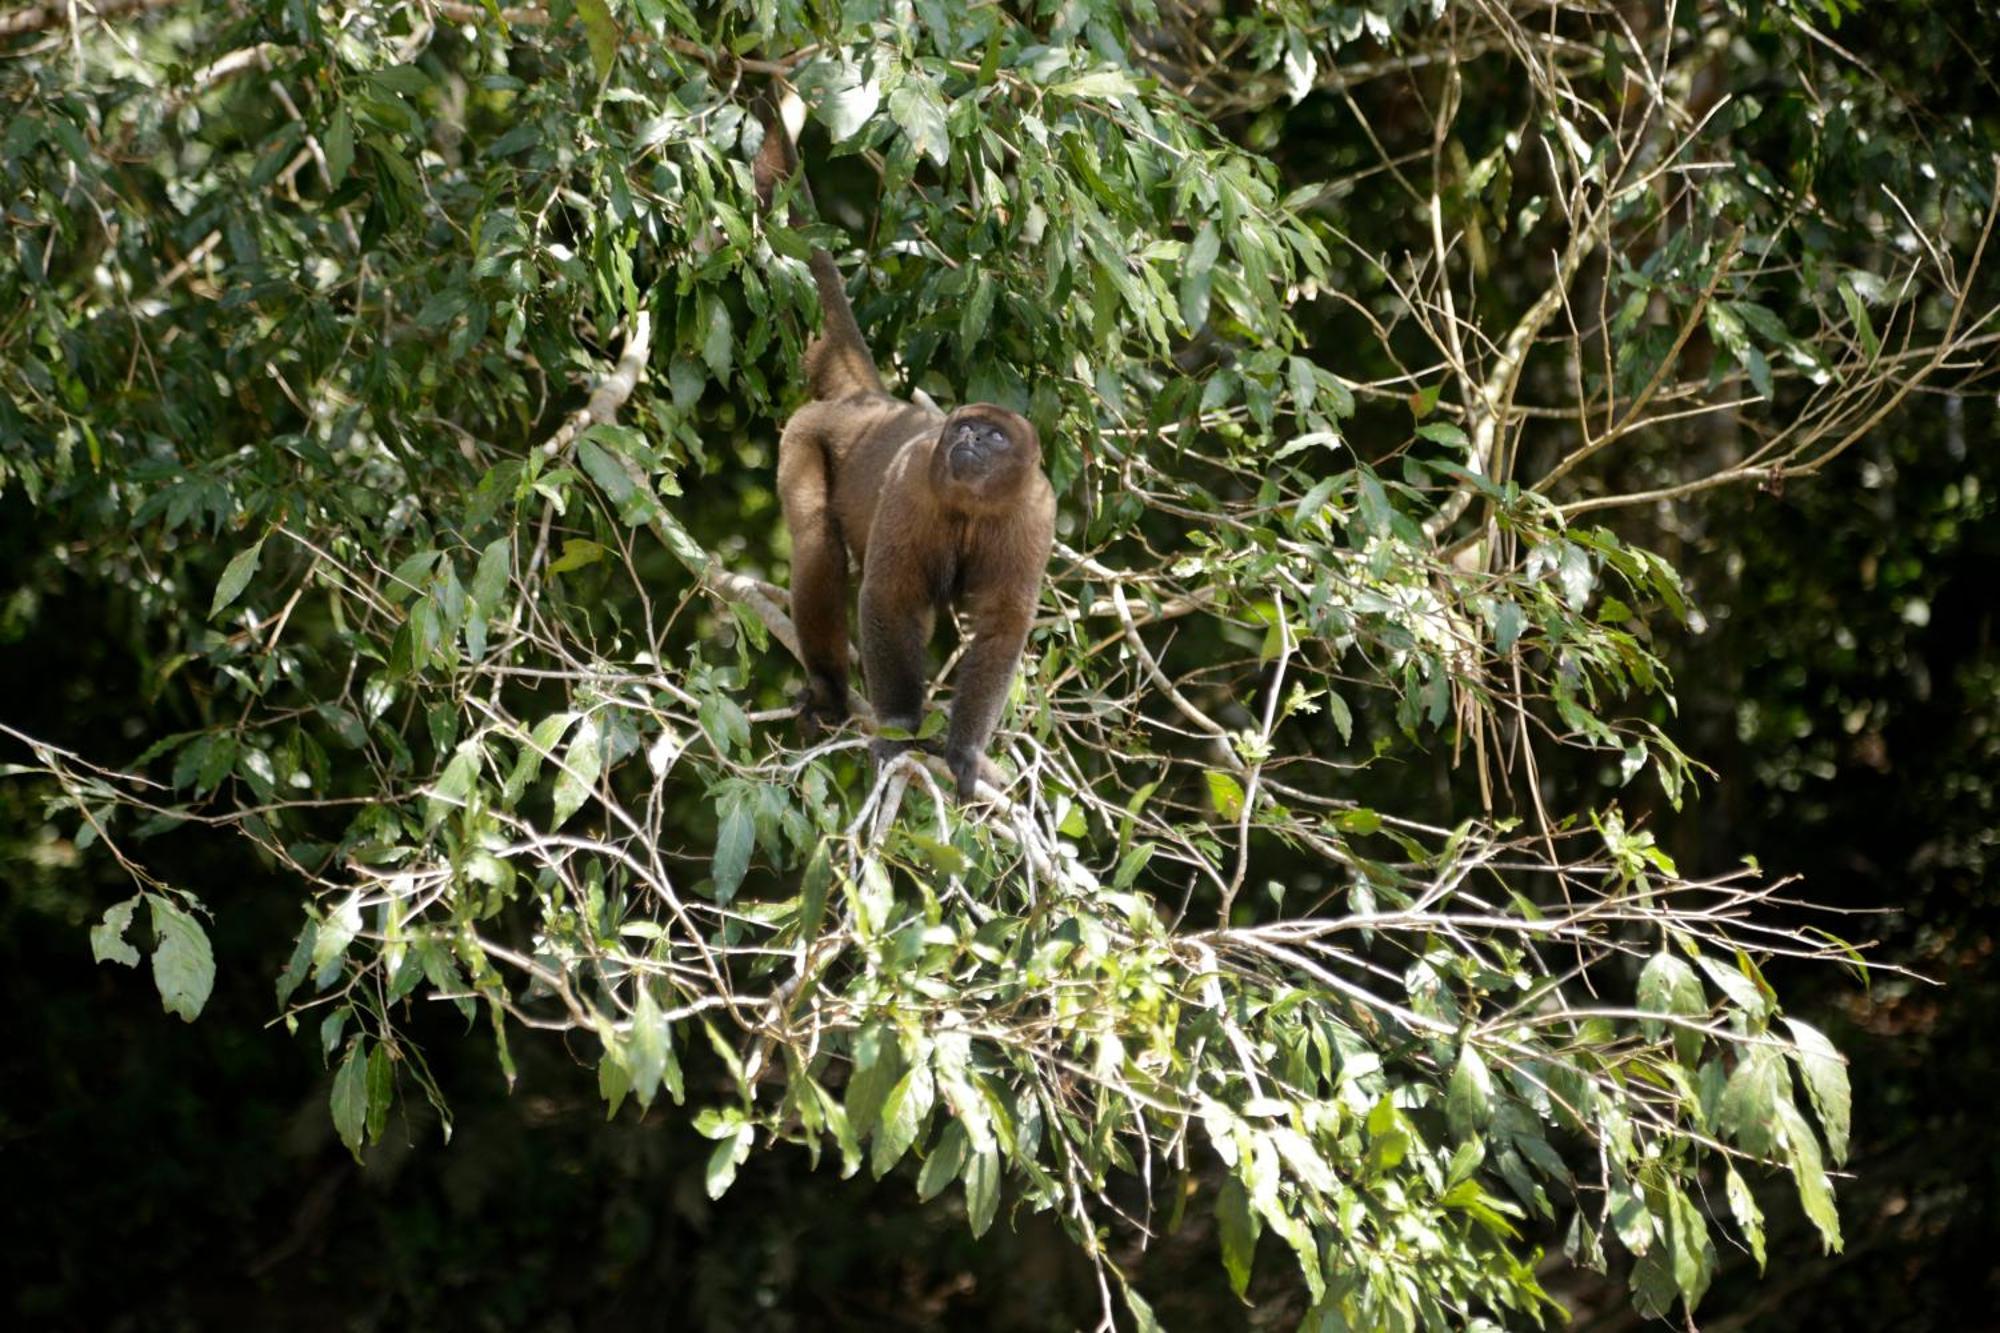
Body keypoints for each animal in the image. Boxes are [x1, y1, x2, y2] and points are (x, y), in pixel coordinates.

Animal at [756, 98, 1056, 800]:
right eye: (966, 425)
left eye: (994, 434)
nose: (967, 436)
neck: (975, 506)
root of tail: (868, 401)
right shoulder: (913, 482)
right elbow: (890, 596)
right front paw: (897, 727)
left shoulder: (1037, 514)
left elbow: (1001, 626)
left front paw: (966, 750)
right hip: (805, 435)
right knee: (818, 545)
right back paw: (830, 693)